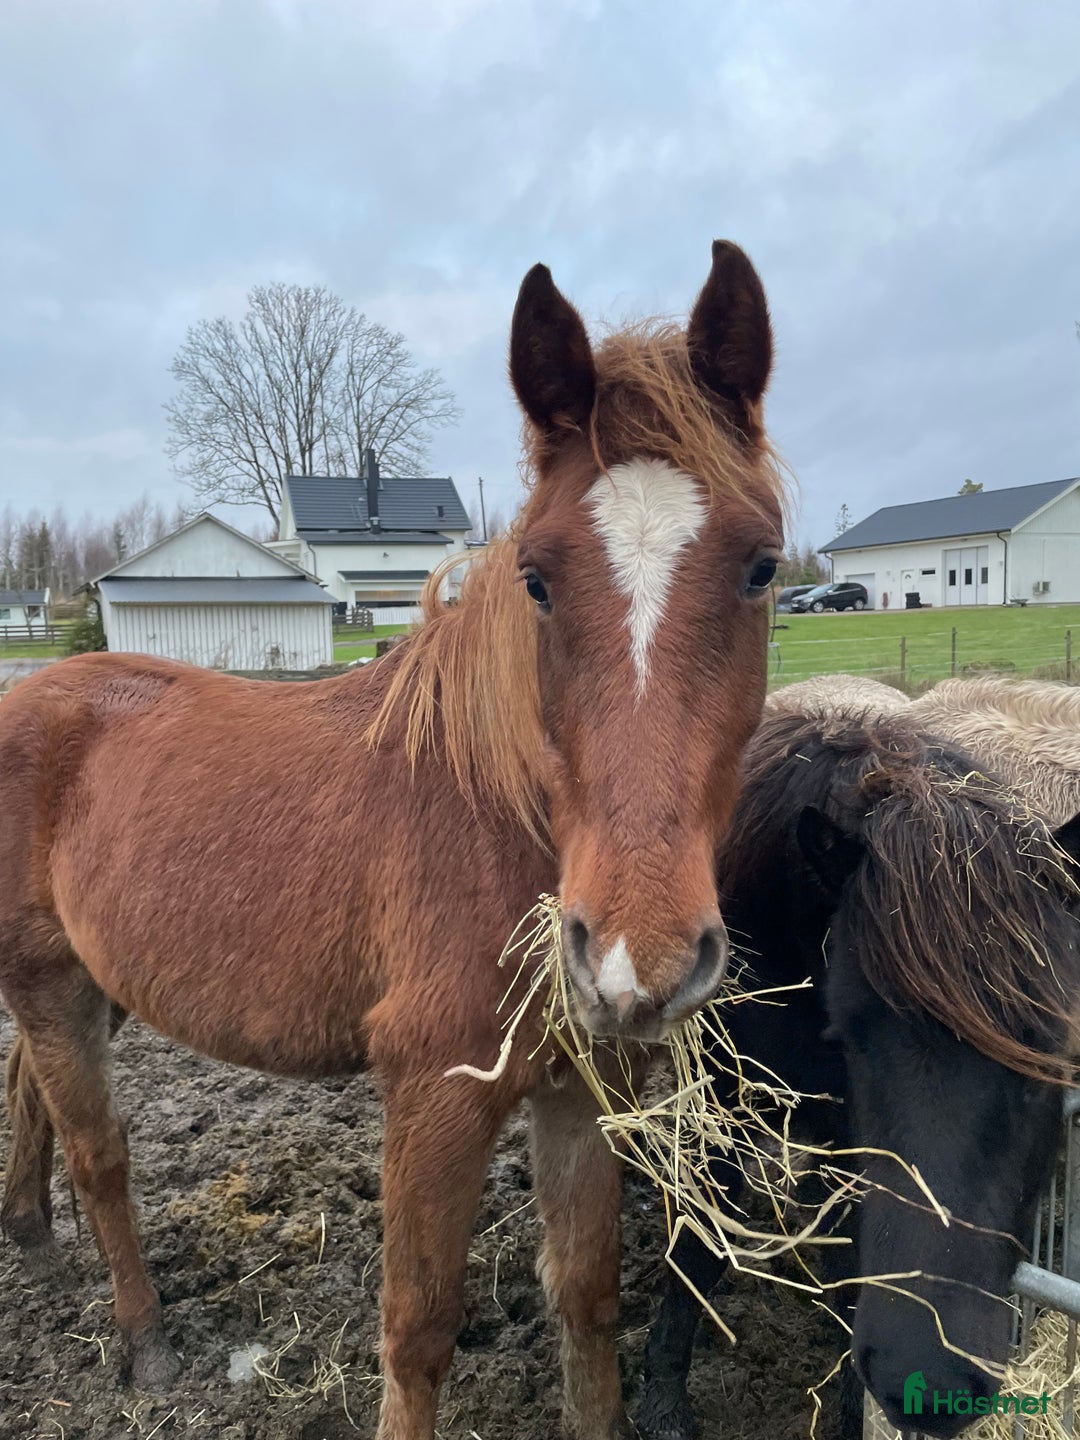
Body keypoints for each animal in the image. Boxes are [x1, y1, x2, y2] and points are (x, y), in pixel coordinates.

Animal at [0, 240, 787, 1440]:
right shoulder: (435, 1098)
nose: (634, 958)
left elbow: (588, 1302)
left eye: (760, 567)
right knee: (101, 1154)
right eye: (538, 578)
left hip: (97, 981)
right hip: (51, 984)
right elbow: (417, 1335)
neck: (505, 823)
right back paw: (142, 1343)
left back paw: (32, 1240)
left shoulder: (581, 1091)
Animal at [638, 704, 1080, 1440]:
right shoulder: (721, 1095)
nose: (927, 1378)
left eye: (1052, 1042)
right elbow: (702, 1229)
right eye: (849, 1030)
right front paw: (663, 1400)